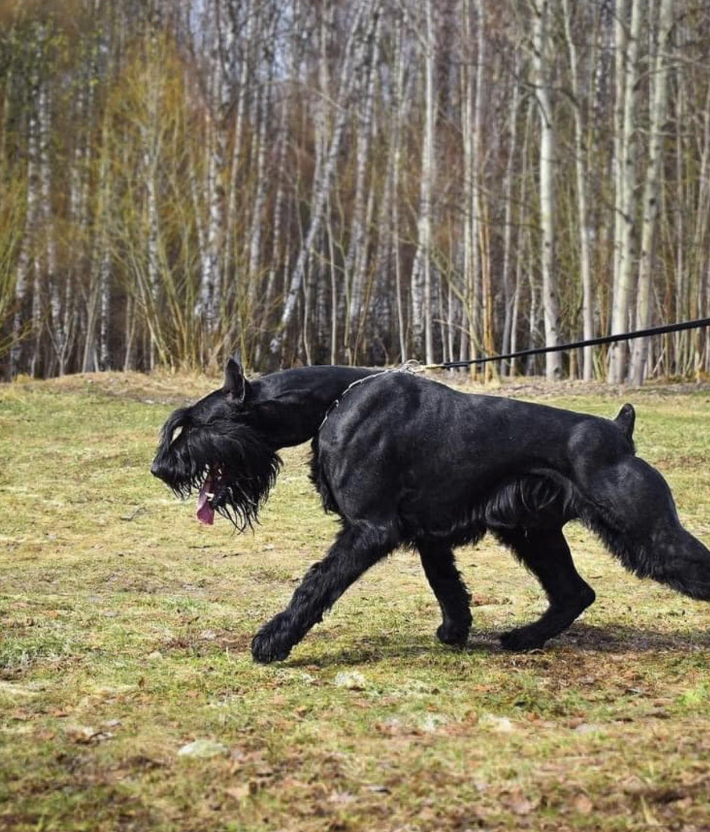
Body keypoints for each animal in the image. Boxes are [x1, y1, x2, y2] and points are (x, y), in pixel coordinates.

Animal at [152, 362, 710, 664]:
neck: (332, 402)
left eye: (194, 424)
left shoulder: (369, 529)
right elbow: (446, 584)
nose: (161, 467)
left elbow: (316, 583)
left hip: (648, 531)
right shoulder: (427, 531)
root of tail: (619, 430)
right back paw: (523, 638)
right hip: (533, 533)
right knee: (575, 592)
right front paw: (455, 632)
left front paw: (272, 640)